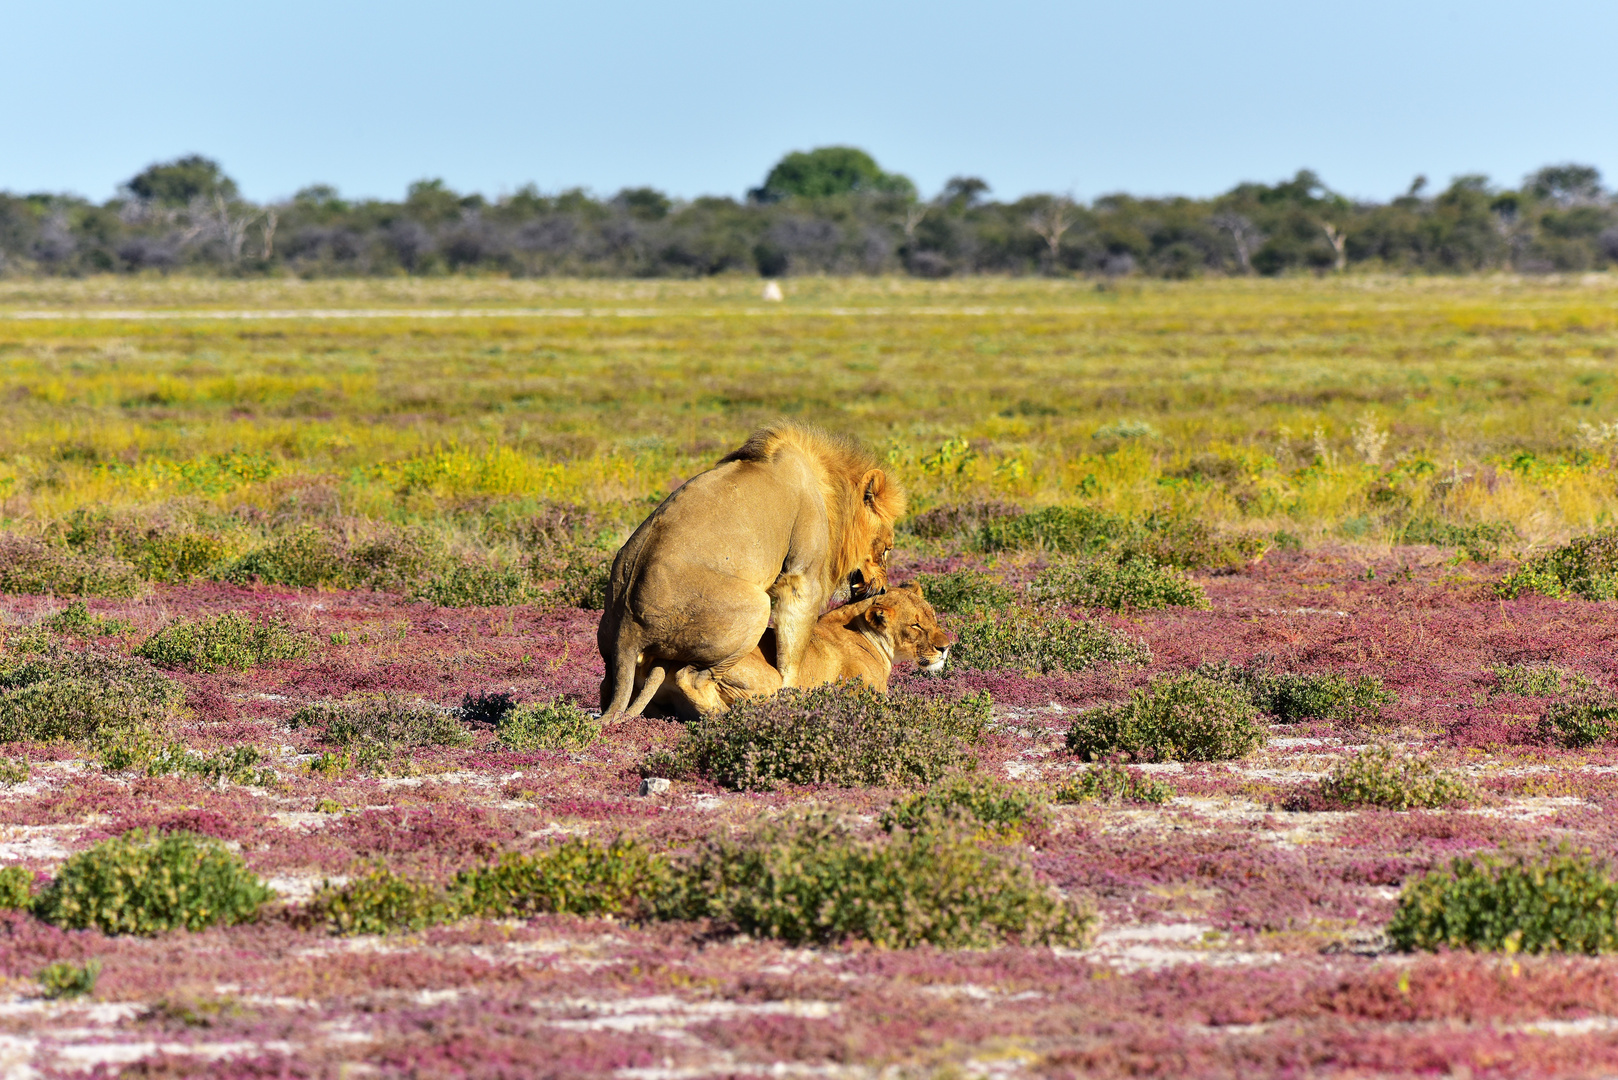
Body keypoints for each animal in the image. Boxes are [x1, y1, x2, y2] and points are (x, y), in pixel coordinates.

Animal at [598, 427, 906, 722]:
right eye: (886, 549)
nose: (882, 589)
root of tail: (628, 629)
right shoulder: (801, 578)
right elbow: (793, 655)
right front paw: (792, 700)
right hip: (757, 607)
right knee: (692, 678)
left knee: (609, 685)